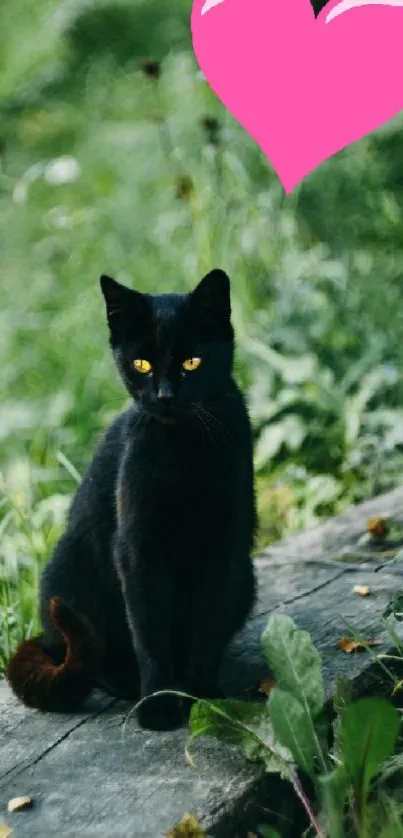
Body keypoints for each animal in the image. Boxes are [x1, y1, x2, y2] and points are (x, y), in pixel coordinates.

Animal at [6, 270, 258, 728]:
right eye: (141, 364)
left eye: (192, 361)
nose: (165, 396)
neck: (183, 452)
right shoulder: (139, 548)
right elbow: (149, 631)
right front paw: (158, 704)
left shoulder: (224, 548)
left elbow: (207, 627)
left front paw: (204, 696)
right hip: (69, 572)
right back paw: (126, 682)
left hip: (247, 577)